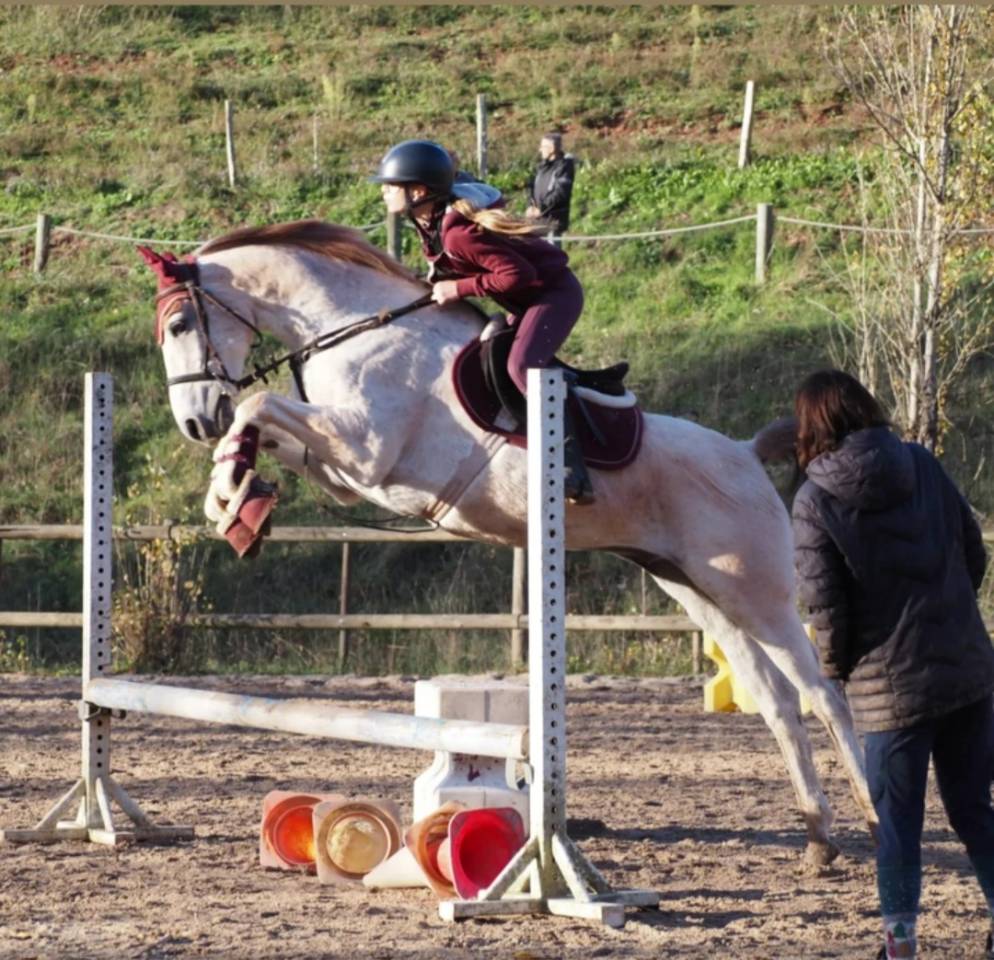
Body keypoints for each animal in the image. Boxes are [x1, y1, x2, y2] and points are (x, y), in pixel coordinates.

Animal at [139, 219, 876, 865]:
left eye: (179, 326)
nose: (195, 422)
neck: (351, 329)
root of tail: (747, 453)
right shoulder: (350, 473)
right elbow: (266, 428)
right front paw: (233, 500)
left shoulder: (366, 449)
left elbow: (258, 405)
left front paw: (233, 491)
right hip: (698, 590)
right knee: (777, 703)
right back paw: (817, 835)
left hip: (760, 594)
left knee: (822, 693)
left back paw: (870, 814)